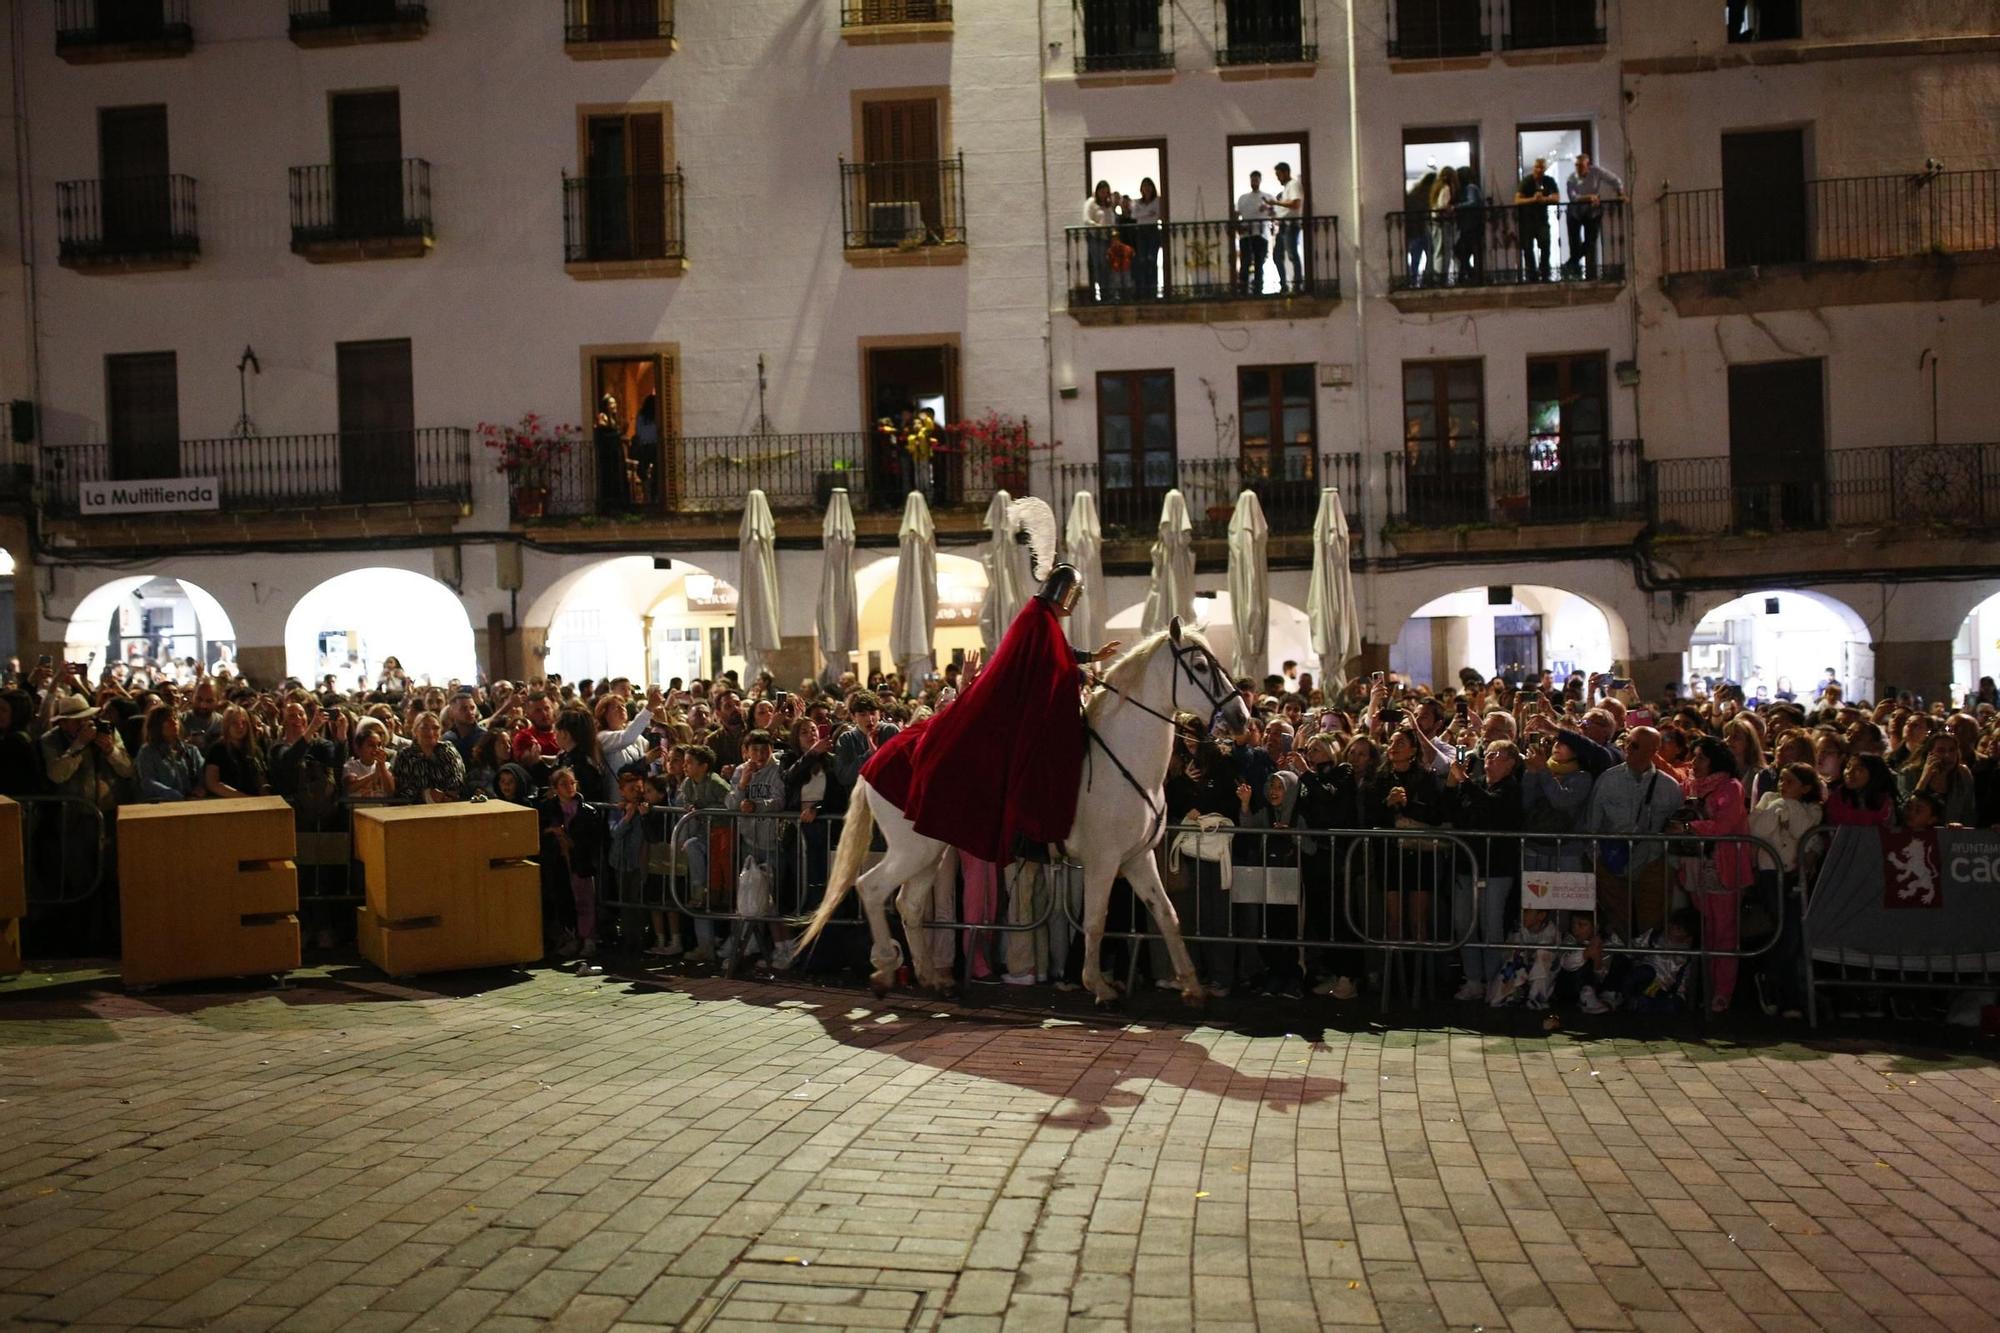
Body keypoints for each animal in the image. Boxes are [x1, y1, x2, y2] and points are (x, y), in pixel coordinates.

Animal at [784, 616, 1240, 1000]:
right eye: (1200, 666)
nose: (1238, 716)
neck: (1125, 759)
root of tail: (873, 761)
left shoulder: (1137, 858)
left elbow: (1167, 915)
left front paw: (1192, 986)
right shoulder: (1103, 860)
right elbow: (1095, 920)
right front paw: (1098, 985)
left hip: (931, 850)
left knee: (908, 904)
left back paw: (932, 978)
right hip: (912, 849)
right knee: (872, 888)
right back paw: (883, 968)